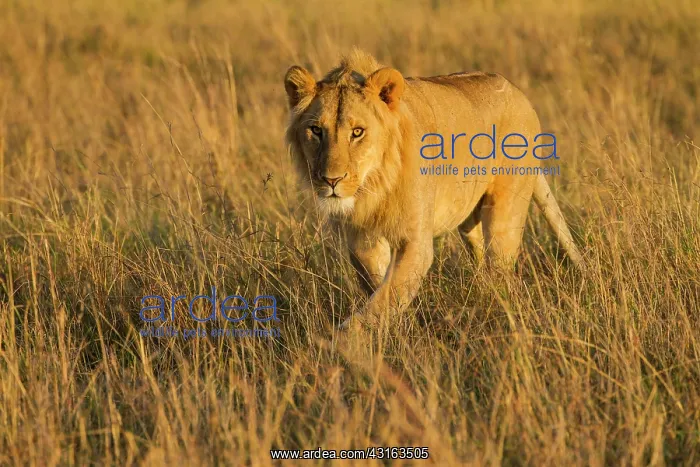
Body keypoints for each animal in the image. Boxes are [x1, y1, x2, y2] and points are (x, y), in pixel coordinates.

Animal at [283, 49, 584, 328]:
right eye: (316, 130)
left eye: (357, 132)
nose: (331, 180)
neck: (374, 186)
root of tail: (516, 91)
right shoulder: (362, 239)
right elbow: (380, 289)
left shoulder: (415, 241)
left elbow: (385, 297)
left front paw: (348, 337)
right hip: (468, 216)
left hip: (505, 213)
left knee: (500, 267)